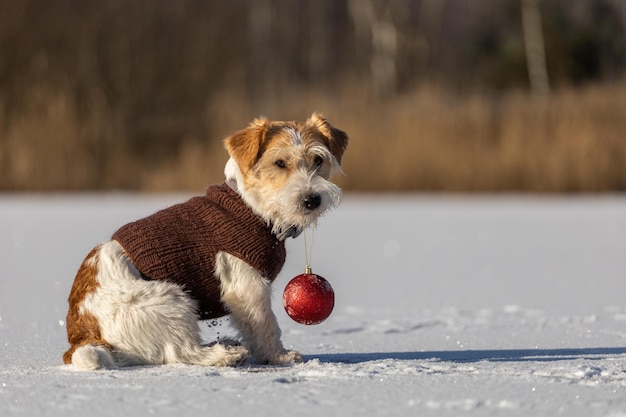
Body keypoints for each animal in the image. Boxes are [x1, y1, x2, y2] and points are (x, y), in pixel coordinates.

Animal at [62, 112, 346, 368]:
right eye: (279, 163)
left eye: (318, 160)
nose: (312, 200)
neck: (252, 206)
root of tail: (82, 336)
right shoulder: (247, 286)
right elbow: (265, 325)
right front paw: (278, 356)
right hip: (171, 300)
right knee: (183, 353)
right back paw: (225, 355)